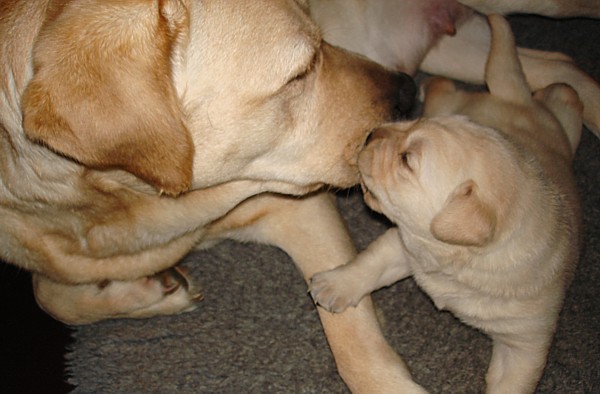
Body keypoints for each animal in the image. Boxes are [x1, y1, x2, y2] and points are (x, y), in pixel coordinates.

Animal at [312, 15, 584, 394]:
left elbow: (513, 381)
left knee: (564, 94)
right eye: (409, 127)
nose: (371, 134)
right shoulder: (407, 242)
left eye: (407, 160)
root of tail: (513, 98)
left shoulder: (526, 343)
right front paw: (334, 284)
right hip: (464, 105)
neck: (455, 262)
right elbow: (371, 262)